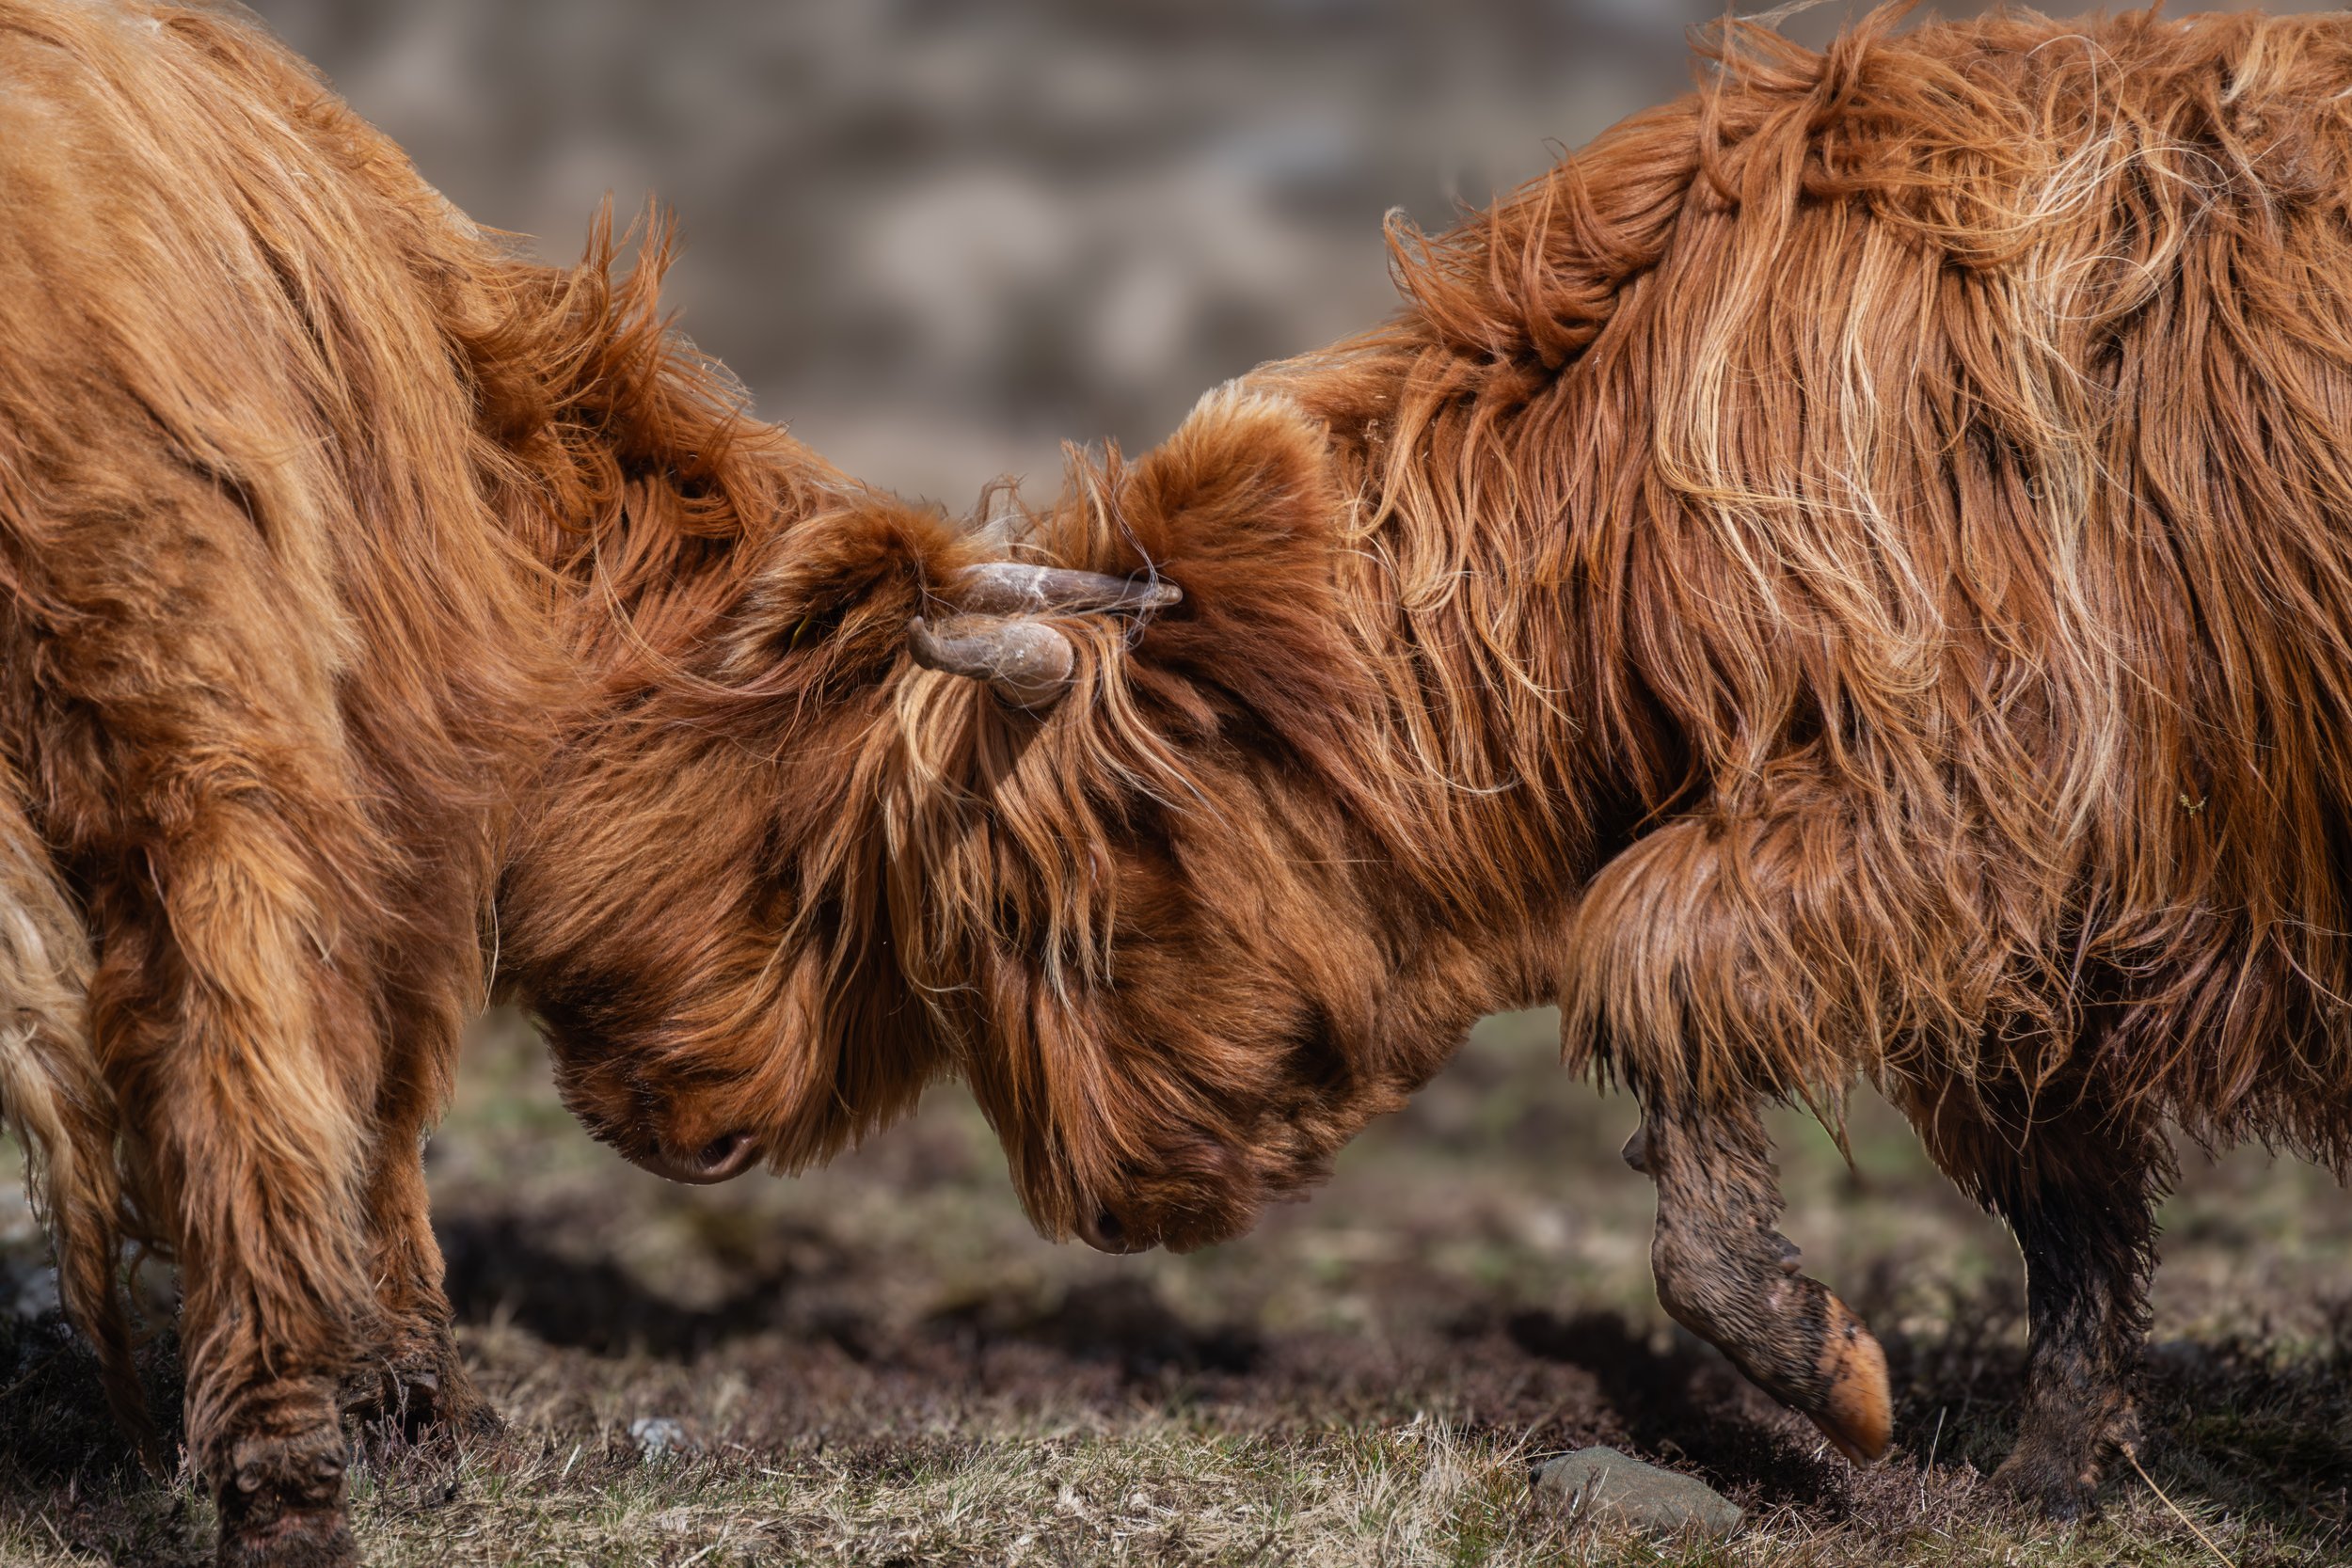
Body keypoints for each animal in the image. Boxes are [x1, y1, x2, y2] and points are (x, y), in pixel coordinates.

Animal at [655, 2, 2352, 1520]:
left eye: (1050, 907)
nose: (1094, 1203)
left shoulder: (1960, 795)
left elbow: (1654, 955)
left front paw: (1829, 1371)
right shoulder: (2035, 925)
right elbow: (2061, 1189)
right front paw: (2052, 1468)